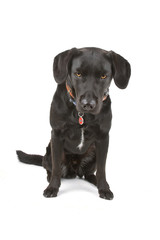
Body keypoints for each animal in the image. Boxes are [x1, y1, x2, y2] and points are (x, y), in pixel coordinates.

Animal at [16, 47, 131, 200]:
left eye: (103, 76)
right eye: (78, 73)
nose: (88, 104)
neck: (82, 115)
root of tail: (75, 170)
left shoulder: (103, 138)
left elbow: (102, 169)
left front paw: (104, 188)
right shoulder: (56, 135)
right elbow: (56, 169)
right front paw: (52, 187)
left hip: (93, 153)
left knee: (89, 174)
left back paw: (94, 181)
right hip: (49, 152)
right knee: (48, 167)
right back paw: (50, 177)